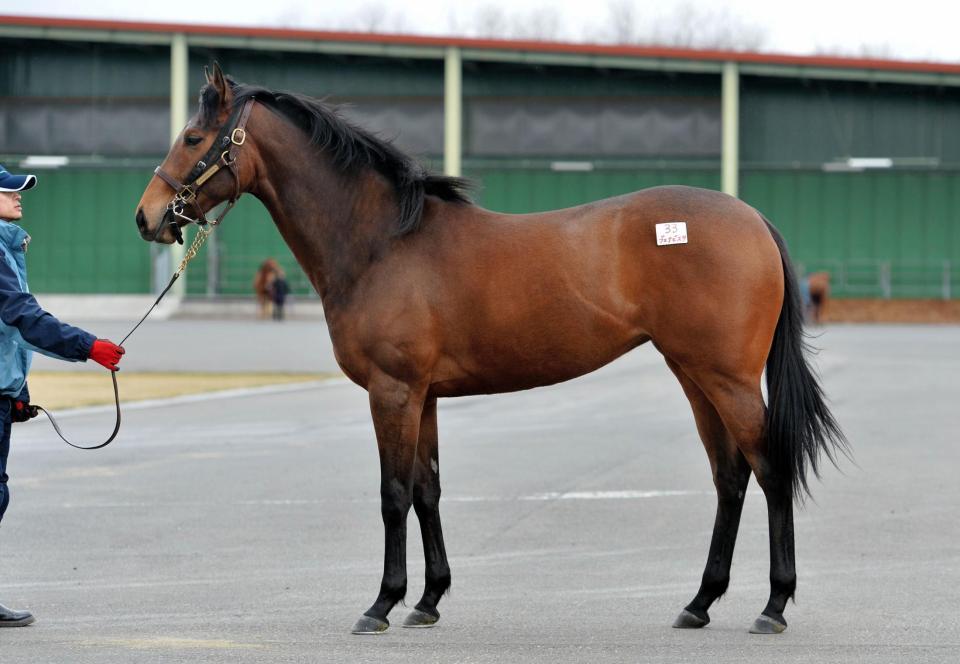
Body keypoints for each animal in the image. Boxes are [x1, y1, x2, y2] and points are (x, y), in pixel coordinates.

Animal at [135, 64, 846, 635]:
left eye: (193, 138)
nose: (147, 217)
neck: (383, 242)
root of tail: (753, 219)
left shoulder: (392, 392)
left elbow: (393, 494)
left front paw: (381, 605)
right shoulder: (421, 396)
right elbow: (427, 490)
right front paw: (427, 601)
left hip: (727, 378)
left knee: (769, 468)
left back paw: (772, 607)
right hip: (694, 376)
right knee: (730, 477)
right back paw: (698, 604)